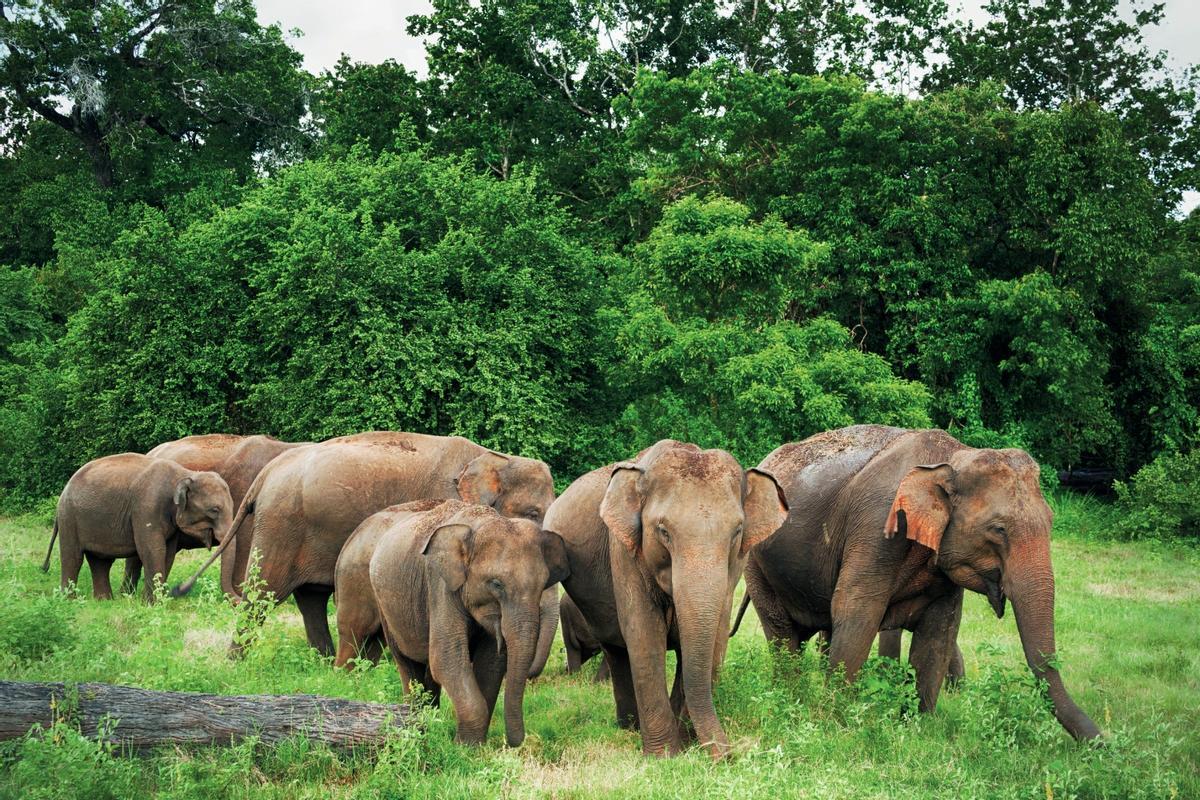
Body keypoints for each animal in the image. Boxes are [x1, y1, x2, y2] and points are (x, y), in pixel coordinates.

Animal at [44, 453, 234, 602]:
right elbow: (153, 549)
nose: (179, 589)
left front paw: (157, 602)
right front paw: (152, 604)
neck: (185, 474)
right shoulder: (146, 507)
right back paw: (70, 601)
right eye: (214, 510)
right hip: (69, 517)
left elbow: (168, 553)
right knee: (73, 557)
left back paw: (104, 601)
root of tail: (65, 489)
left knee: (100, 561)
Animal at [174, 432, 557, 658]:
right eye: (532, 513)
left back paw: (325, 661)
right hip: (280, 526)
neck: (496, 458)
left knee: (310, 598)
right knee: (263, 597)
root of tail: (266, 474)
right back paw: (238, 661)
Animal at [359, 499, 569, 746]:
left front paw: (473, 745)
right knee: (408, 665)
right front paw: (464, 747)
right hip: (385, 606)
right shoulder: (439, 584)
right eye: (496, 584)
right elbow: (447, 658)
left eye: (543, 584)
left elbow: (491, 664)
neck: (479, 522)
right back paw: (416, 725)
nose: (513, 742)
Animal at [544, 440, 789, 759]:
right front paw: (664, 756)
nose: (728, 755)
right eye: (663, 531)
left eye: (737, 532)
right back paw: (629, 727)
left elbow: (715, 637)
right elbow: (645, 635)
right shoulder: (624, 551)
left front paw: (687, 743)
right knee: (616, 650)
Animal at [743, 425, 1100, 740]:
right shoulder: (875, 528)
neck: (953, 458)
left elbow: (940, 630)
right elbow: (857, 611)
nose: (1101, 742)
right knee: (782, 635)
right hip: (755, 562)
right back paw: (789, 698)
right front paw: (838, 721)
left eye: (1051, 521)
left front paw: (919, 727)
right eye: (998, 529)